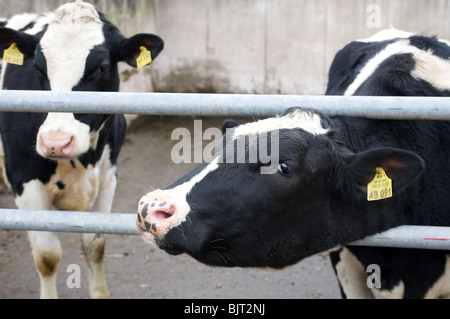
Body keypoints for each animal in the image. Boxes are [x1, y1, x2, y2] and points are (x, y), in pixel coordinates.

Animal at [0, 1, 164, 298]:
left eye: (100, 67)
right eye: (38, 68)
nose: (56, 141)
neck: (84, 160)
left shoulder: (108, 177)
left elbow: (95, 244)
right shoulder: (23, 181)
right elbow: (47, 256)